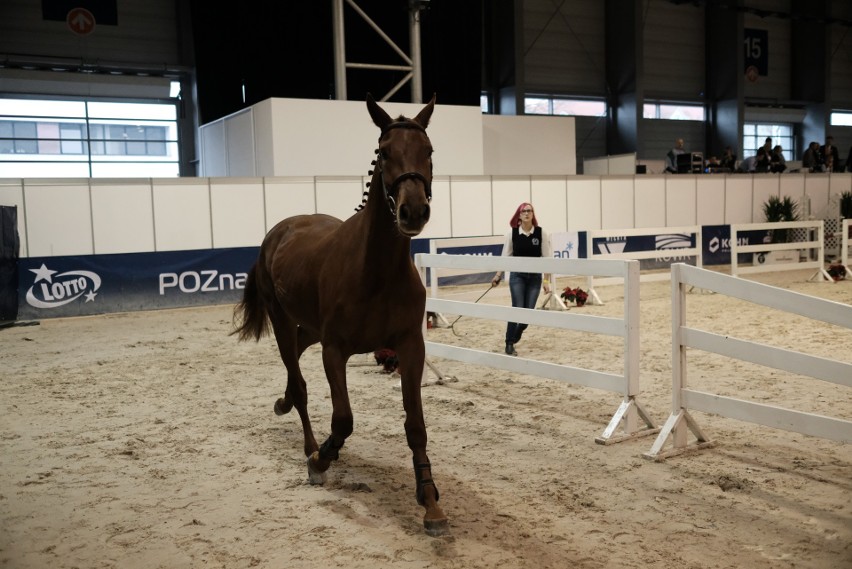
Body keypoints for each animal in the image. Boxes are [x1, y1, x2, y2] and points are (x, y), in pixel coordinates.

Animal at [231, 93, 446, 532]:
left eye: (429, 151)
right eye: (385, 152)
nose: (413, 211)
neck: (377, 270)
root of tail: (279, 232)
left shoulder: (410, 347)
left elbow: (415, 425)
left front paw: (429, 499)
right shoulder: (335, 351)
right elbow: (343, 419)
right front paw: (320, 462)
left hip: (310, 327)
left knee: (296, 355)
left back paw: (283, 404)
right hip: (283, 319)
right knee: (298, 380)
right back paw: (309, 443)